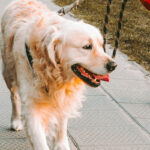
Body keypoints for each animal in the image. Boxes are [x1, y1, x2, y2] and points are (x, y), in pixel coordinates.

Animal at [0, 0, 116, 149]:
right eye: (87, 47)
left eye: (102, 46)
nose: (113, 65)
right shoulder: (32, 107)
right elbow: (39, 140)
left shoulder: (63, 97)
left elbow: (61, 124)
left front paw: (61, 144)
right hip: (8, 72)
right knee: (14, 96)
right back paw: (15, 121)